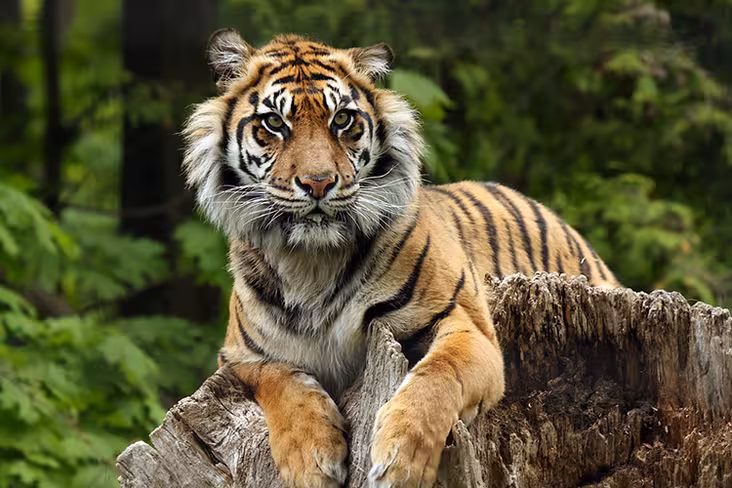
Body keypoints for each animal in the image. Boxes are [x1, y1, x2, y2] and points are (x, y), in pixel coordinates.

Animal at [181, 28, 620, 488]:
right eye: (274, 123)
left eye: (342, 120)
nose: (318, 183)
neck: (312, 262)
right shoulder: (239, 357)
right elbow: (283, 381)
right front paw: (310, 459)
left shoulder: (469, 328)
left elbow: (439, 373)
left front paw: (401, 459)